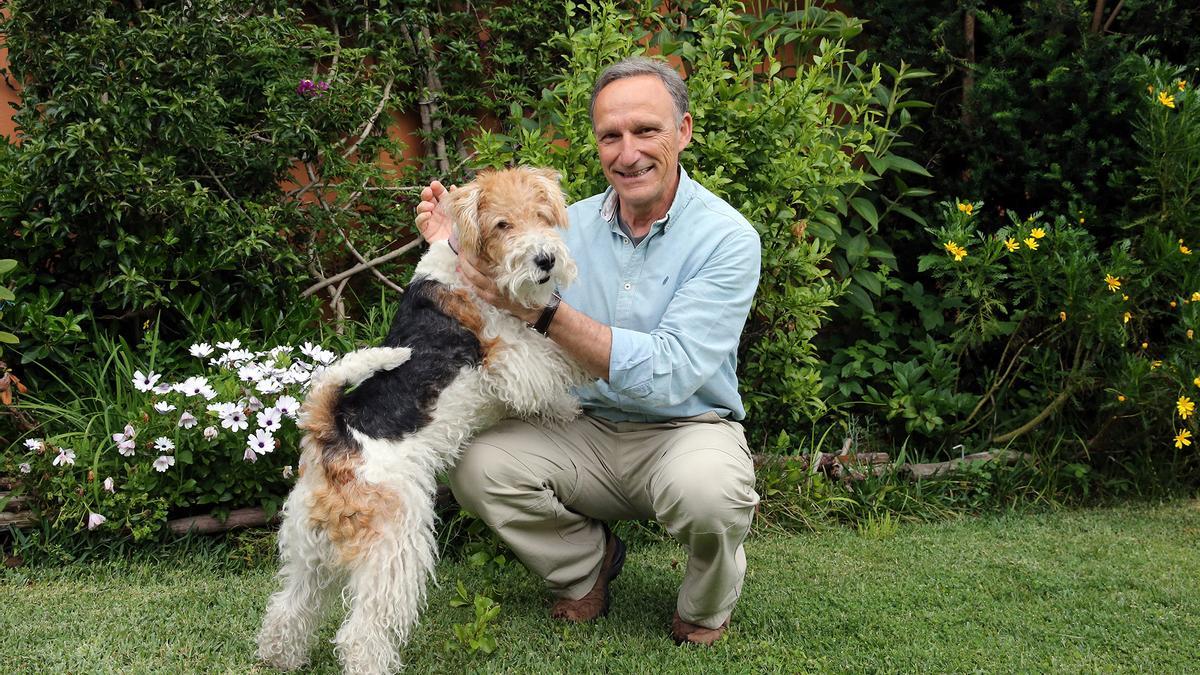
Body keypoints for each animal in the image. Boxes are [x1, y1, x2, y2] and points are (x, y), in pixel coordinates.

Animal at [256, 165, 585, 667]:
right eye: (502, 225)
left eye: (543, 215)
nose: (545, 260)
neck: (466, 269)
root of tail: (331, 436)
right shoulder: (511, 358)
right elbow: (557, 358)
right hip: (396, 545)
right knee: (361, 633)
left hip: (310, 550)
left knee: (288, 610)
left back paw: (280, 659)